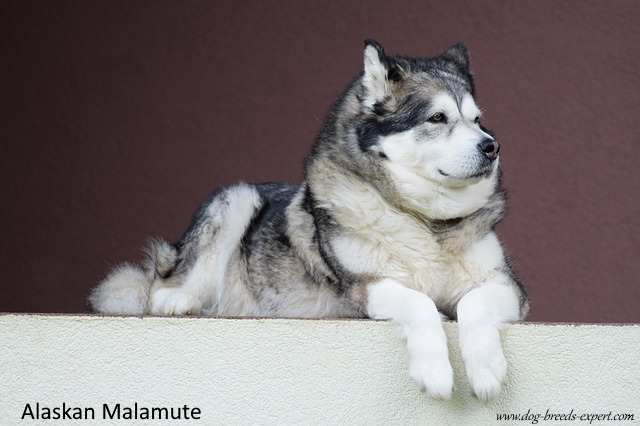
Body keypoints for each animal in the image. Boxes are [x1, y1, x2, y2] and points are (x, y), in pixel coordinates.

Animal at [91, 40, 528, 400]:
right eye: (437, 118)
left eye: (477, 120)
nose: (492, 147)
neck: (424, 221)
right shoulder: (365, 287)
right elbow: (419, 302)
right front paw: (435, 371)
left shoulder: (508, 288)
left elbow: (473, 303)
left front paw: (486, 369)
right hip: (236, 197)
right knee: (163, 286)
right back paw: (178, 299)